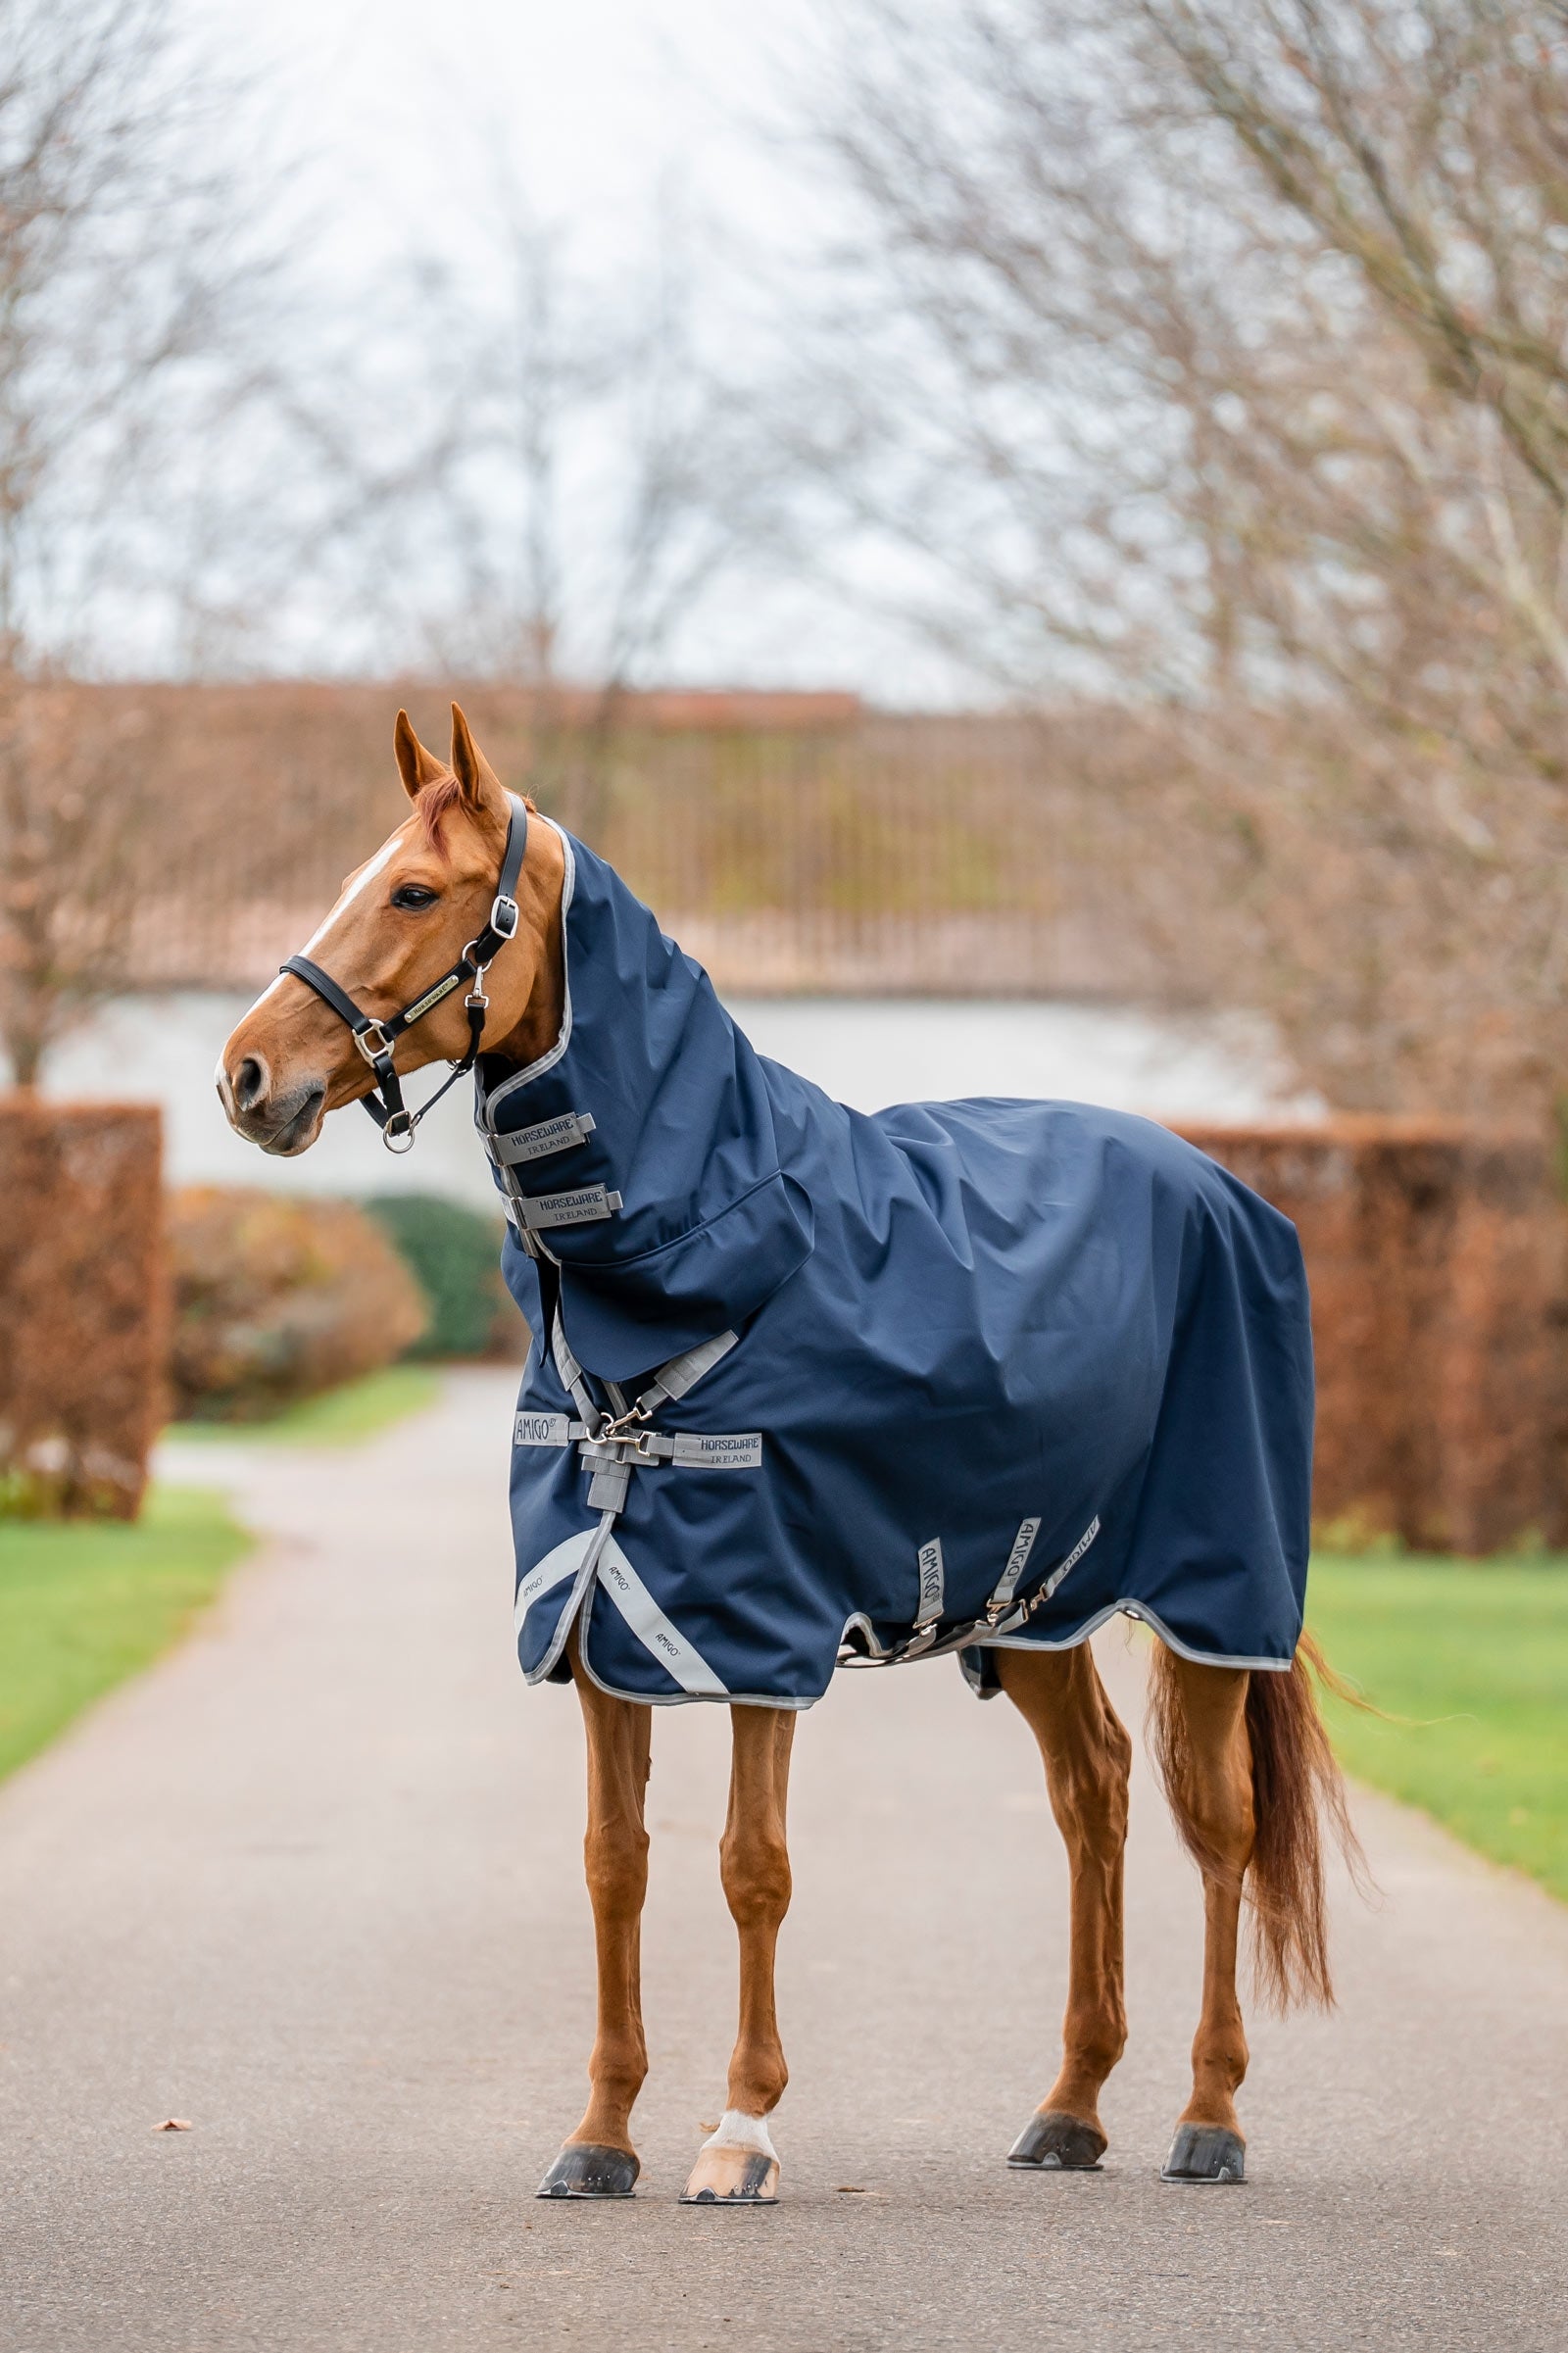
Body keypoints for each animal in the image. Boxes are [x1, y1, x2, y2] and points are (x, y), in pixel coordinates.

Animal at [218, 702, 1355, 2206]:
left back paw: (1208, 2115)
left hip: (1213, 1592)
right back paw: (1069, 2107)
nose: (244, 1076)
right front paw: (599, 2136)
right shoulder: (603, 1621)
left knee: (1216, 1822)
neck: (719, 1248)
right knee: (1093, 1796)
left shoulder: (757, 1623)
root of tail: (1226, 1191)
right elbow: (615, 1864)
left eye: (411, 892)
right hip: (1034, 1604)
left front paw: (739, 2131)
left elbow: (752, 1865)